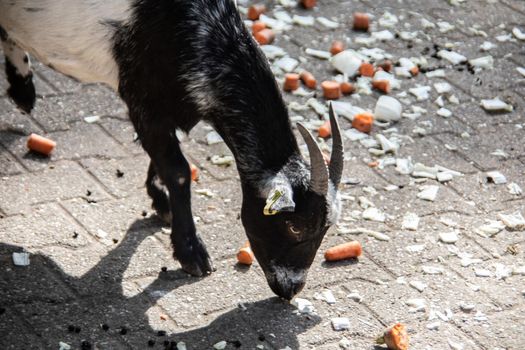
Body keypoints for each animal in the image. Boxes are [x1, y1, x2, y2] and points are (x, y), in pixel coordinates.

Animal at [1, 0, 344, 300]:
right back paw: (22, 88)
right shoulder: (142, 100)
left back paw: (22, 90)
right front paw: (191, 252)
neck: (197, 30)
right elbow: (178, 170)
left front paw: (159, 200)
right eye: (294, 225)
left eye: (325, 229)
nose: (293, 288)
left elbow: (164, 162)